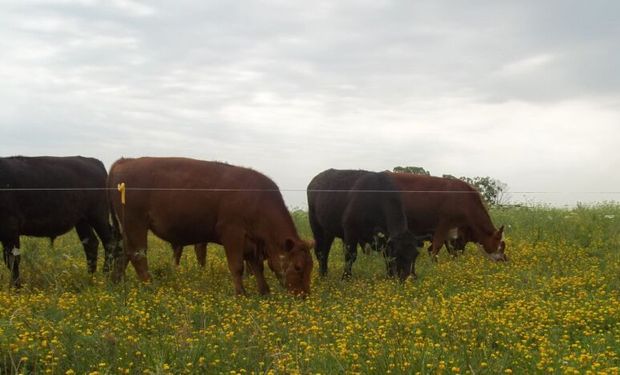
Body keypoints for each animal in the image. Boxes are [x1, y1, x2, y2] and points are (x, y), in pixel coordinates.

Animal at [0, 156, 118, 288]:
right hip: (82, 221)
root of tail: (93, 161)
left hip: (98, 216)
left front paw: (16, 288)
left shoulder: (10, 229)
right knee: (91, 243)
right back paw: (90, 277)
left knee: (109, 241)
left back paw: (105, 276)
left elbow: (12, 260)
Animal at [106, 157, 314, 296]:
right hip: (135, 224)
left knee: (123, 253)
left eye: (311, 267)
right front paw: (242, 294)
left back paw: (116, 283)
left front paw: (264, 292)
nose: (303, 296)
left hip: (128, 228)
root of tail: (124, 161)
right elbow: (237, 266)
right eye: (298, 267)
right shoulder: (233, 234)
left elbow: (257, 267)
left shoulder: (252, 242)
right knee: (137, 255)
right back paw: (150, 286)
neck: (258, 199)